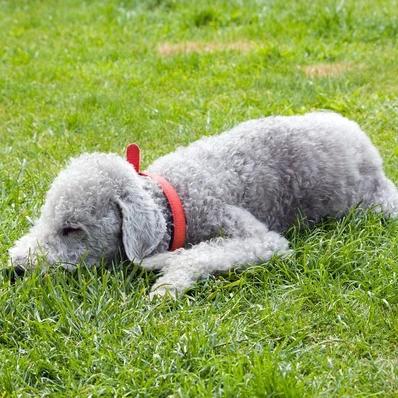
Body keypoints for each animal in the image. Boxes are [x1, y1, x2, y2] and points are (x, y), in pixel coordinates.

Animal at [8, 112, 398, 298]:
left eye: (72, 229)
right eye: (44, 219)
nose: (15, 269)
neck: (169, 199)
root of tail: (363, 141)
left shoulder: (260, 238)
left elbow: (200, 254)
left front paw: (166, 279)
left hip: (374, 203)